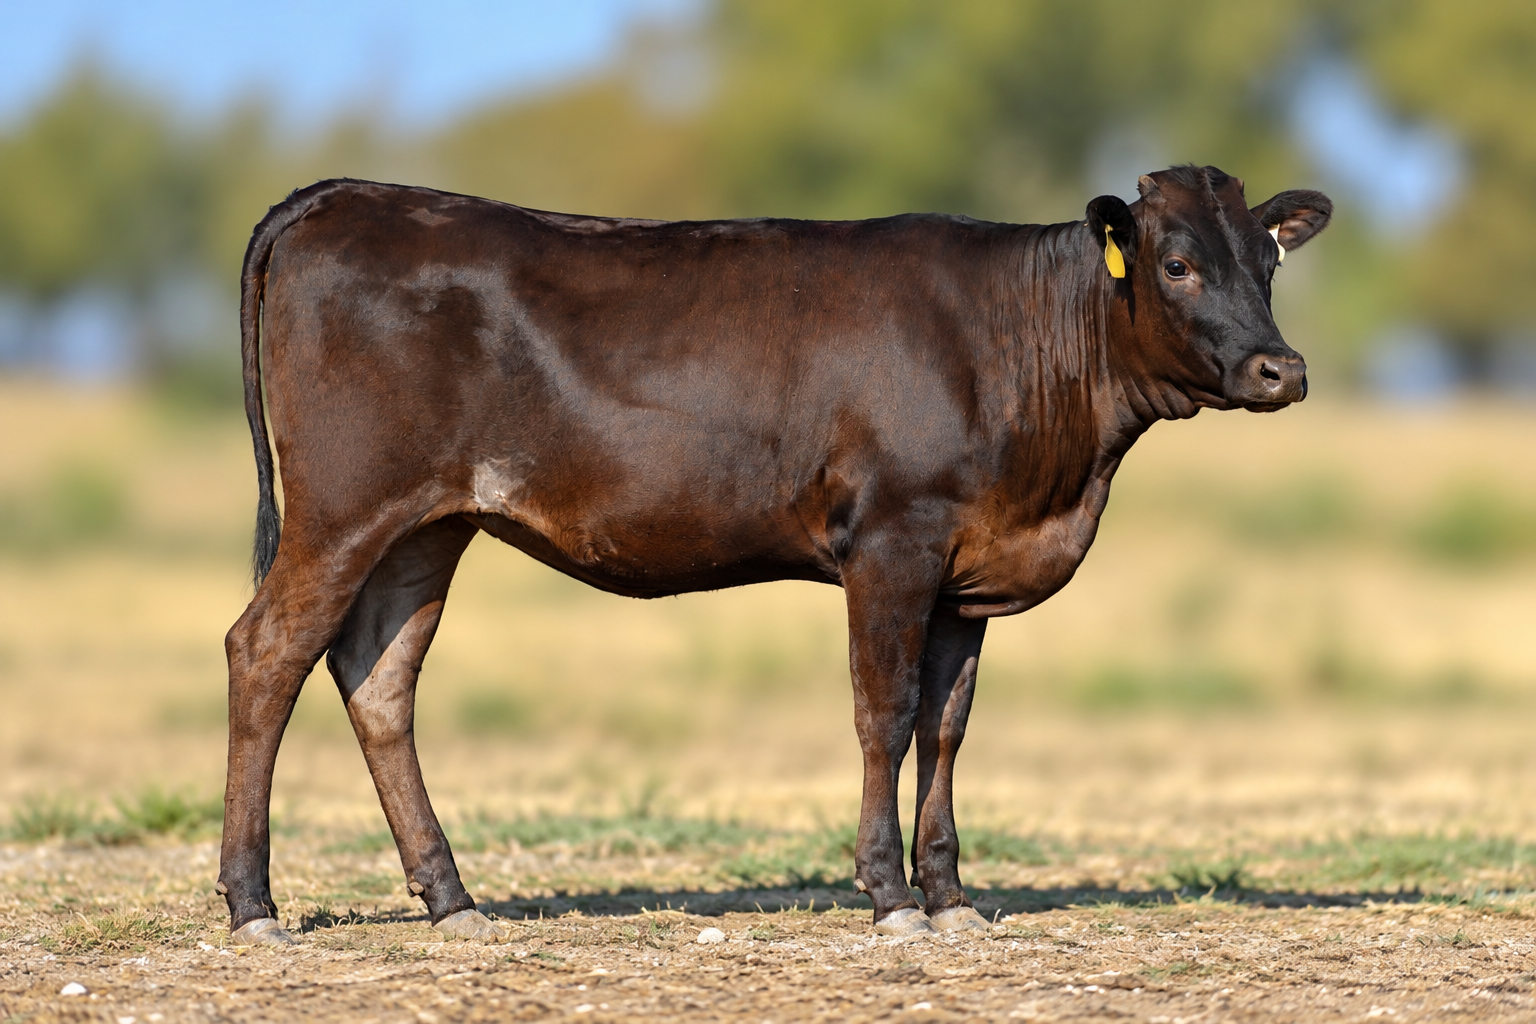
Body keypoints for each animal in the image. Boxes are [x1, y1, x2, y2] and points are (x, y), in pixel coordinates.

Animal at [218, 164, 1331, 944]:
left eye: (1270, 262)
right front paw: (890, 895)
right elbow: (885, 715)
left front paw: (951, 893)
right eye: (1177, 262)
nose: (1281, 369)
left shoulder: (964, 573)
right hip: (345, 506)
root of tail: (346, 194)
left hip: (427, 524)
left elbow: (948, 727)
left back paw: (451, 899)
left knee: (378, 676)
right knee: (266, 651)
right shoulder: (892, 539)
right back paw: (252, 903)